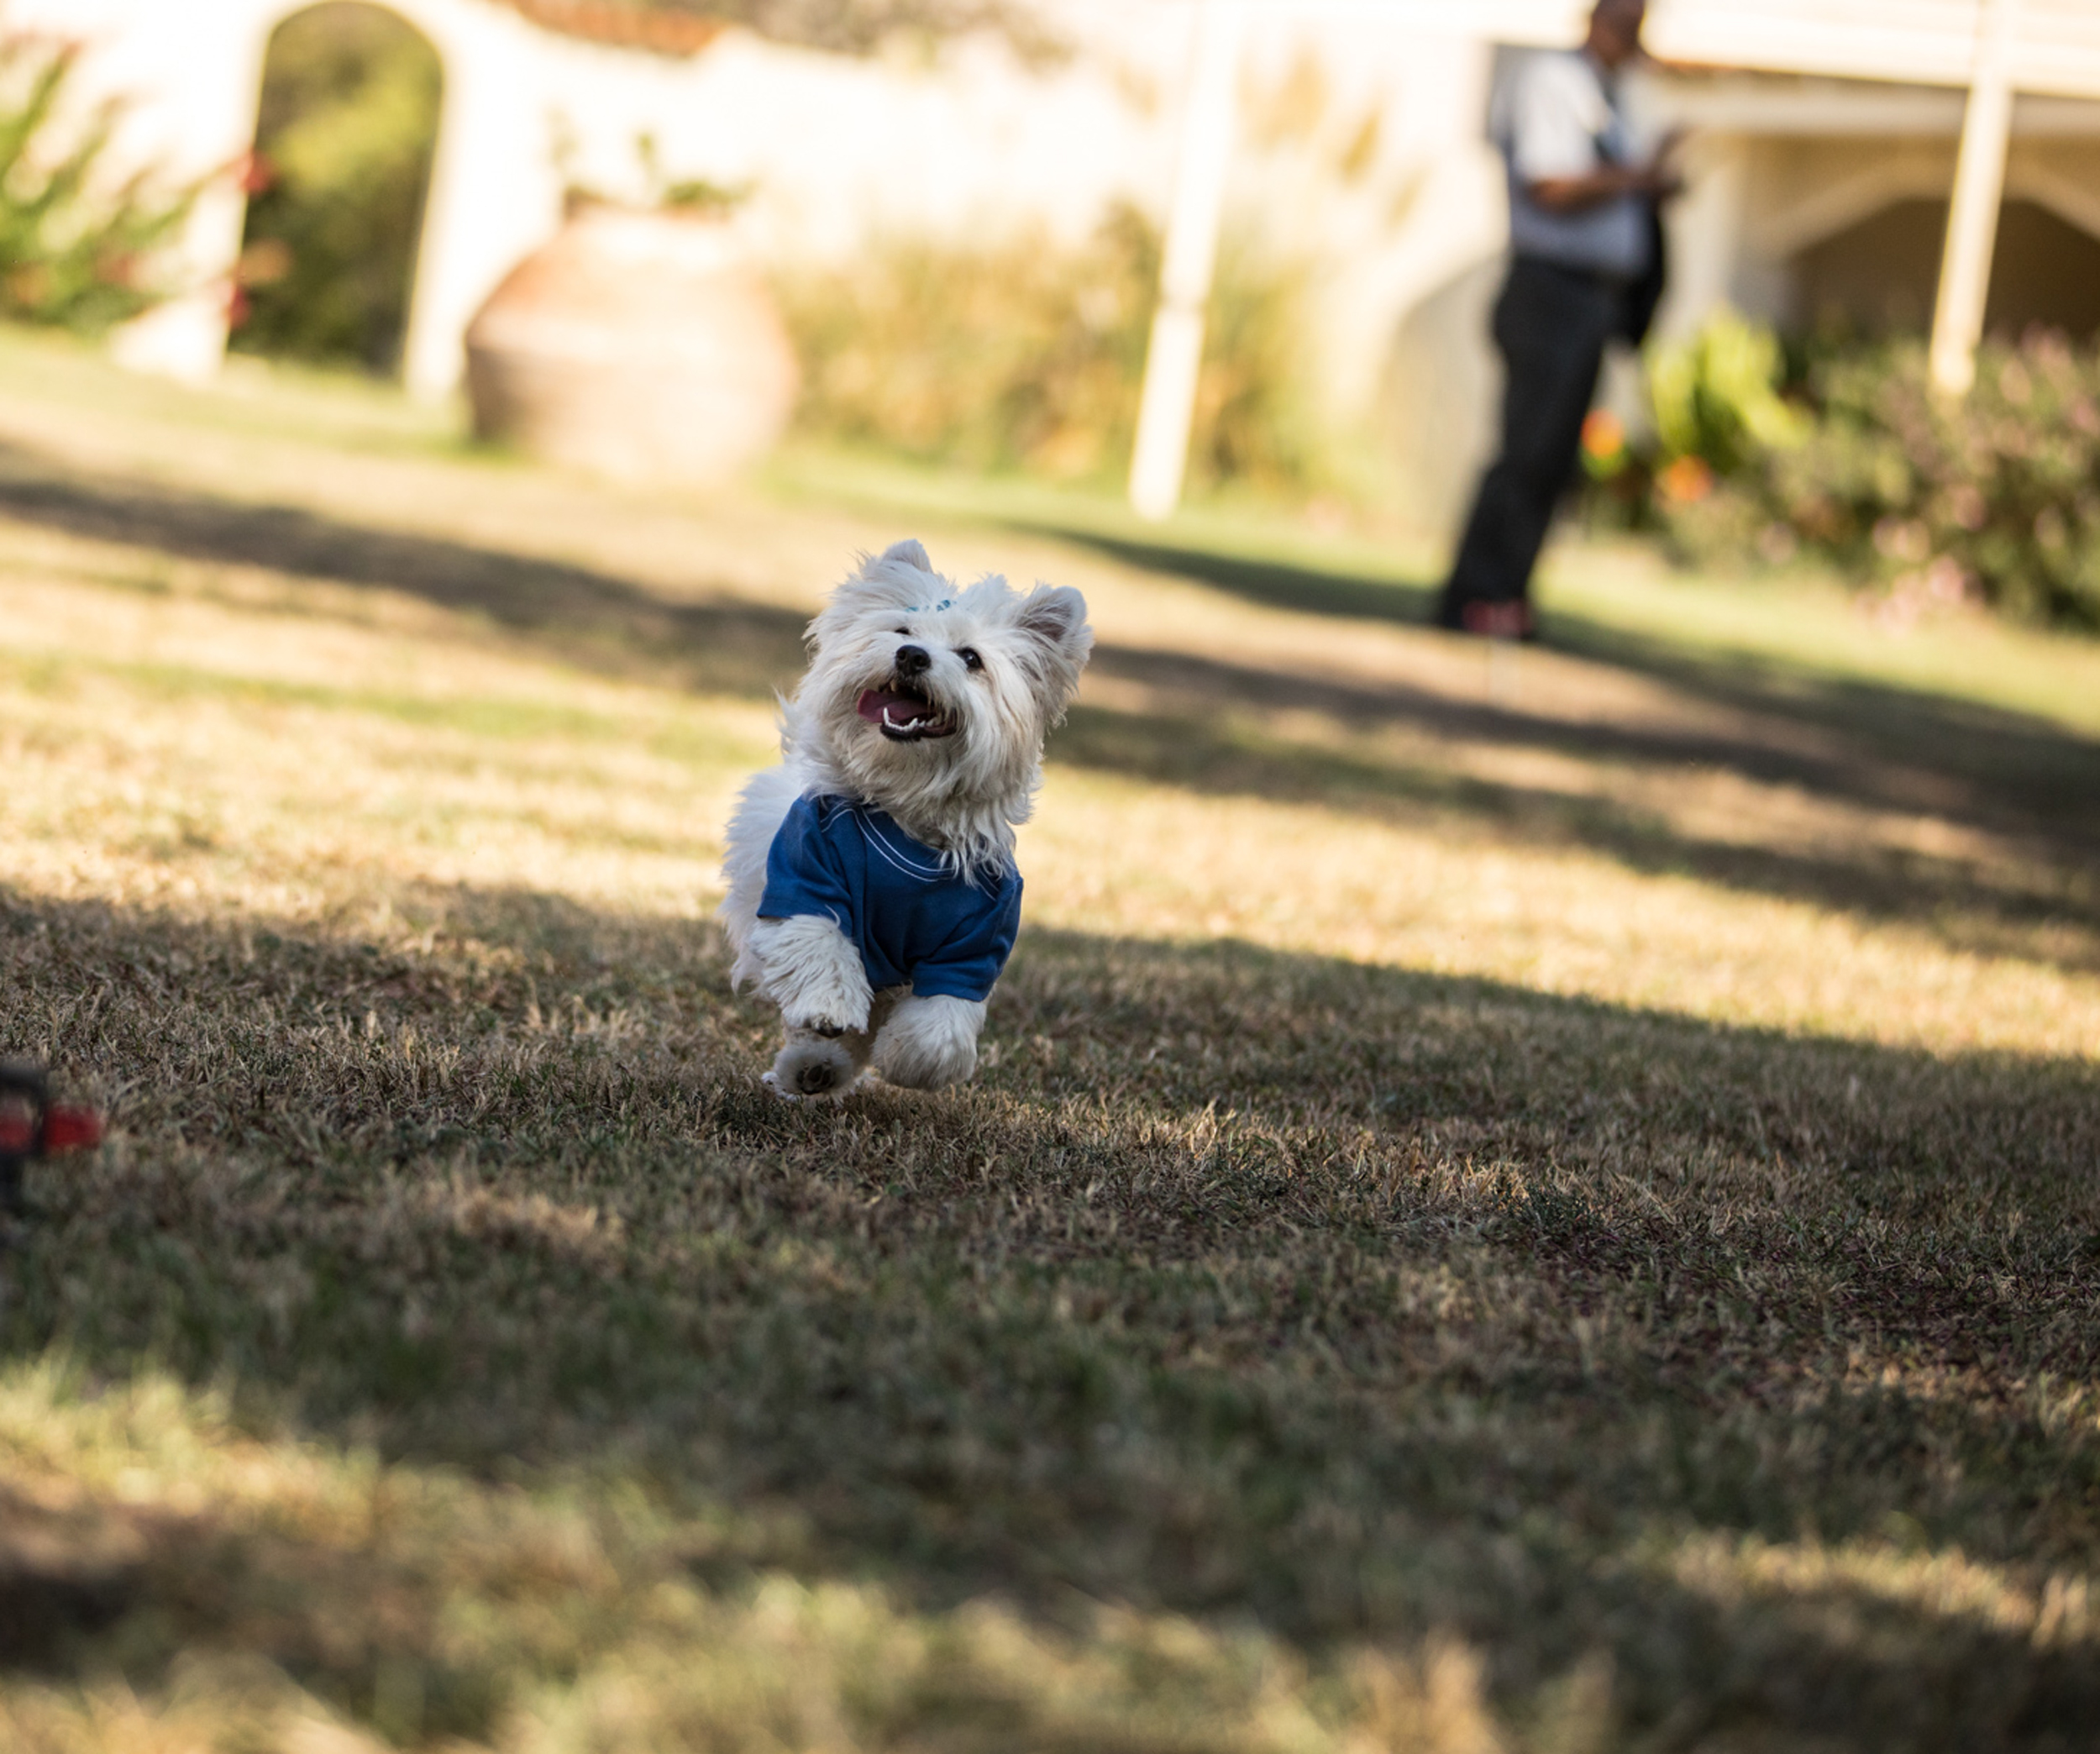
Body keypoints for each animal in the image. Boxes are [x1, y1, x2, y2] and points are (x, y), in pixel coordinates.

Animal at [722, 542, 1092, 1100]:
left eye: (971, 659)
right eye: (902, 632)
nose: (912, 656)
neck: (907, 817)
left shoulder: (973, 945)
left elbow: (938, 1027)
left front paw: (908, 1059)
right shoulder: (805, 875)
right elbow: (821, 948)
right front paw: (830, 1009)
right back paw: (814, 1064)